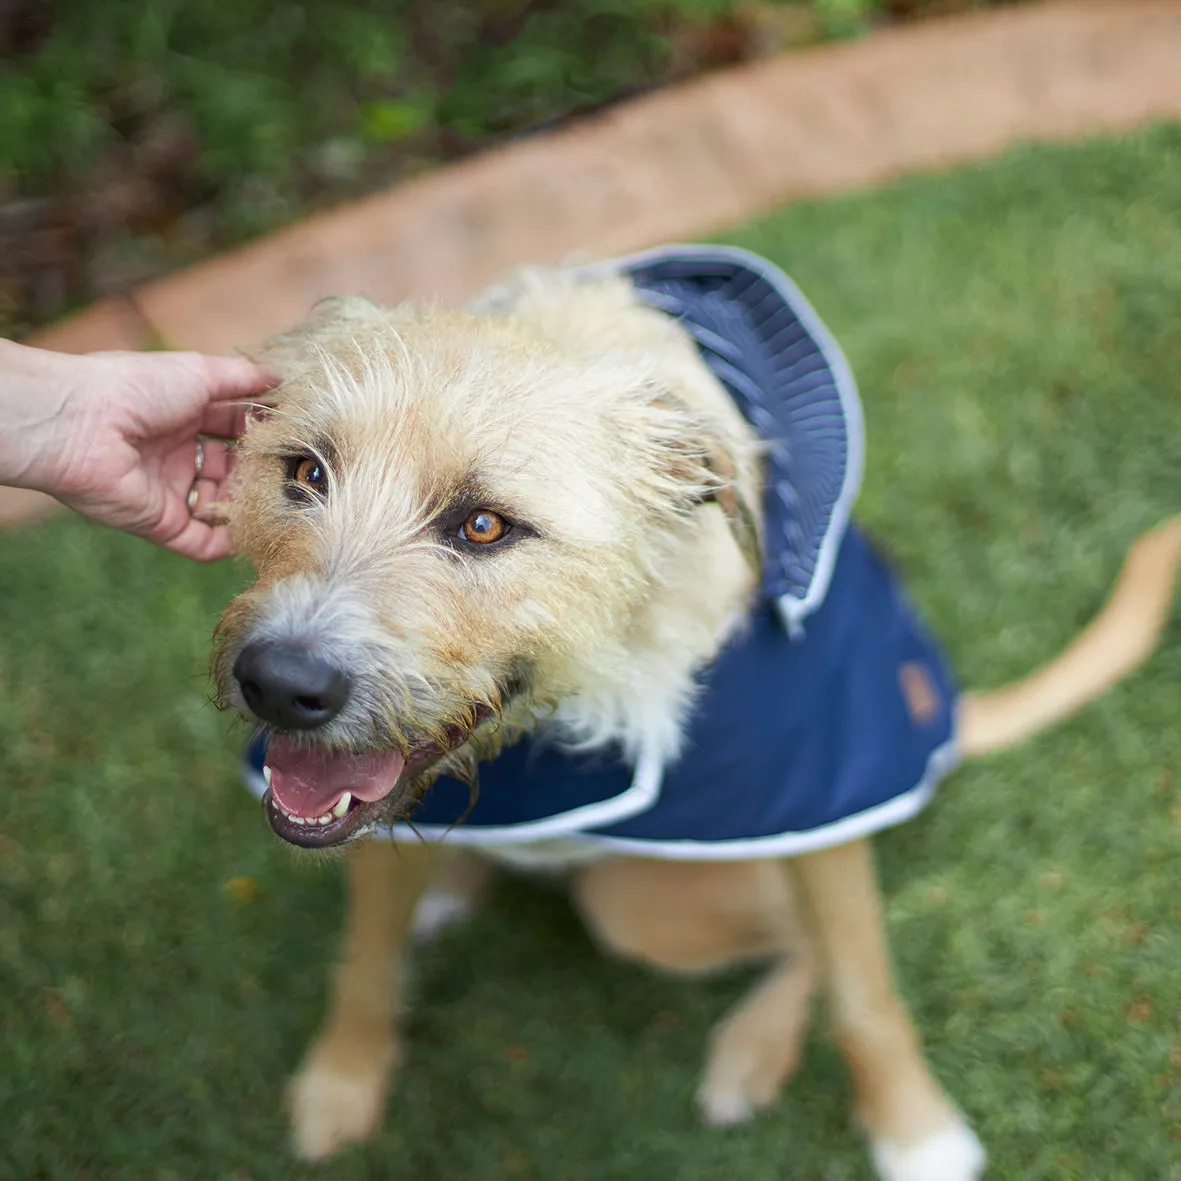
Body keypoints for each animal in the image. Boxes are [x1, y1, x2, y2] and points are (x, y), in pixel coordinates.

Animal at [212, 244, 1181, 1176]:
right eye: (305, 472)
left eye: (484, 526)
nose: (279, 682)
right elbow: (364, 959)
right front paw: (339, 1082)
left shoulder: (816, 796)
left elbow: (862, 983)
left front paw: (914, 1130)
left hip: (646, 903)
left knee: (811, 941)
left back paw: (752, 1047)